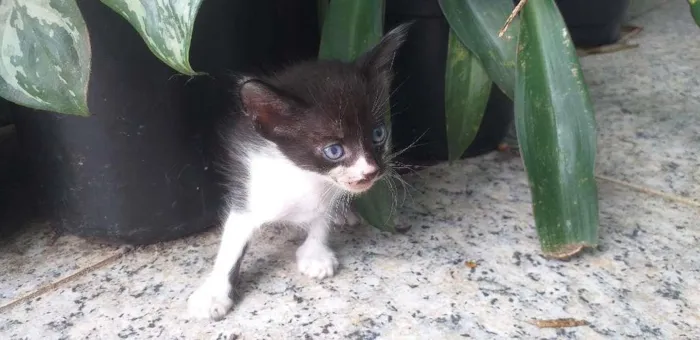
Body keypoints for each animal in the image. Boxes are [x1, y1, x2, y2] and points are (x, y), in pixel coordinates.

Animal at [189, 23, 412, 322]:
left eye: (378, 134)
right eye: (334, 150)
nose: (371, 171)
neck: (304, 176)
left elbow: (321, 217)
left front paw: (315, 253)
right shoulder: (250, 188)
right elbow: (232, 243)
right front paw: (214, 293)